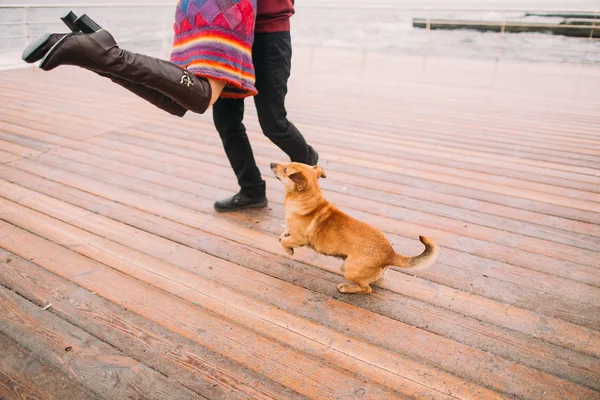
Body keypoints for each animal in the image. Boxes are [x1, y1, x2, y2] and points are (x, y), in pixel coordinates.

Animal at [272, 161, 436, 296]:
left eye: (285, 170)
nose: (271, 164)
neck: (308, 202)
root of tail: (391, 254)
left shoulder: (300, 239)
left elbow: (285, 242)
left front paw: (288, 250)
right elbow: (284, 234)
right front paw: (283, 235)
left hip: (348, 269)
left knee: (367, 289)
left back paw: (347, 288)